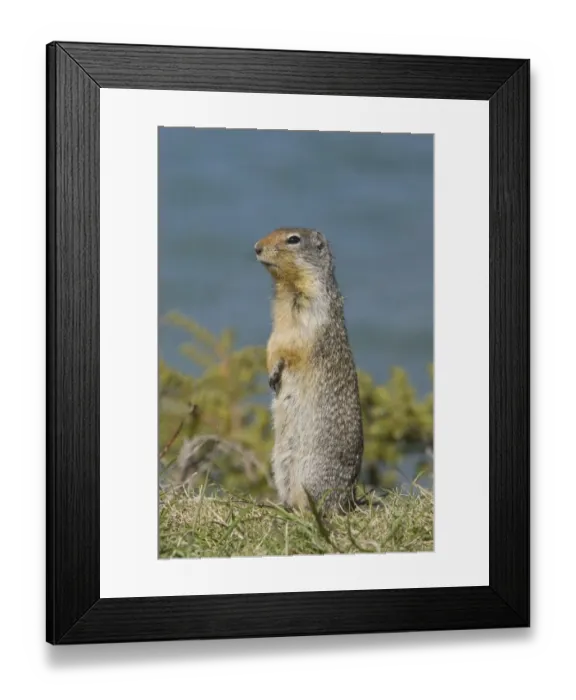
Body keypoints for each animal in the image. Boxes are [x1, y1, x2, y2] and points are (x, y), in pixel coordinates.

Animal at [254, 227, 364, 513]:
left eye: (293, 239)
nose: (256, 247)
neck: (288, 288)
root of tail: (348, 498)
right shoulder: (278, 323)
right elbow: (272, 342)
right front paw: (271, 373)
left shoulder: (313, 312)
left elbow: (291, 345)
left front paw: (276, 371)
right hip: (282, 466)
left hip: (312, 472)